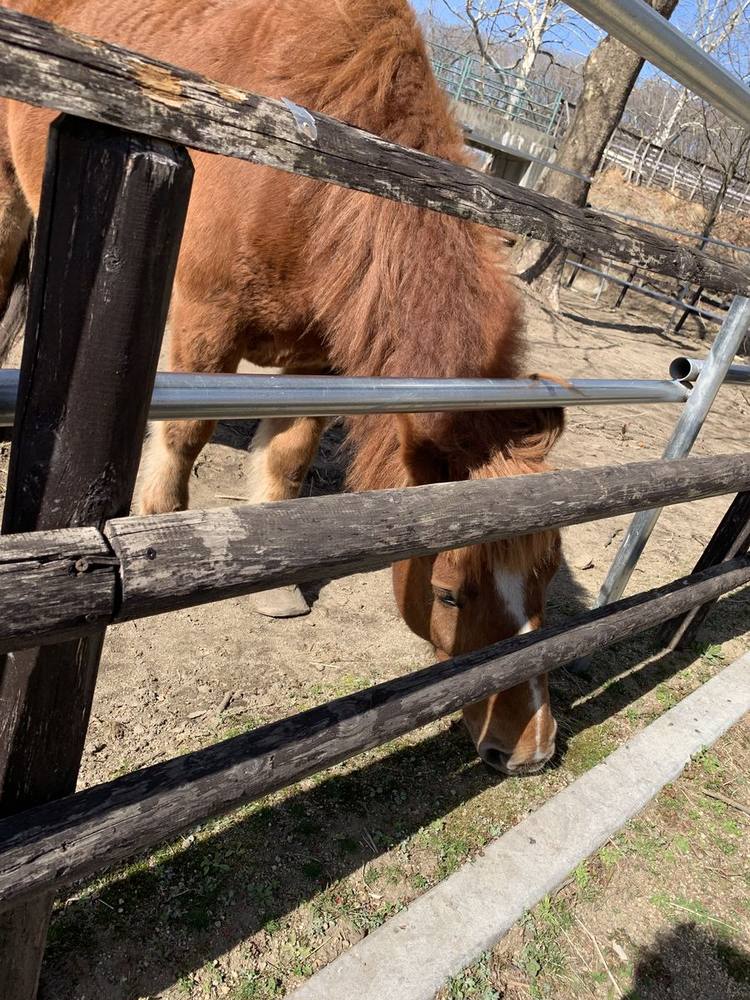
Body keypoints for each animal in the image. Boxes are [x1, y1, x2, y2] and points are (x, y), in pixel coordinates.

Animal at [0, 0, 564, 775]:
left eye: (548, 577)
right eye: (451, 593)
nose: (532, 749)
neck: (316, 183)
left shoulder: (316, 362)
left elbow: (289, 457)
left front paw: (276, 584)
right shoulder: (204, 320)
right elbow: (184, 432)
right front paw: (158, 525)